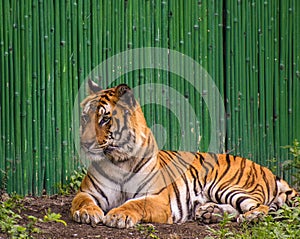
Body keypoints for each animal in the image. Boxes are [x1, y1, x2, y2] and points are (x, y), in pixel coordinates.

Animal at [71, 80, 298, 228]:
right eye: (84, 117)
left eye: (105, 119)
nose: (85, 143)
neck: (118, 161)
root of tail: (266, 169)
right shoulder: (88, 192)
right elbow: (82, 201)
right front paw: (87, 213)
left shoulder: (156, 198)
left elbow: (134, 203)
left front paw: (118, 215)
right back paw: (209, 213)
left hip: (227, 185)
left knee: (262, 207)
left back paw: (249, 217)